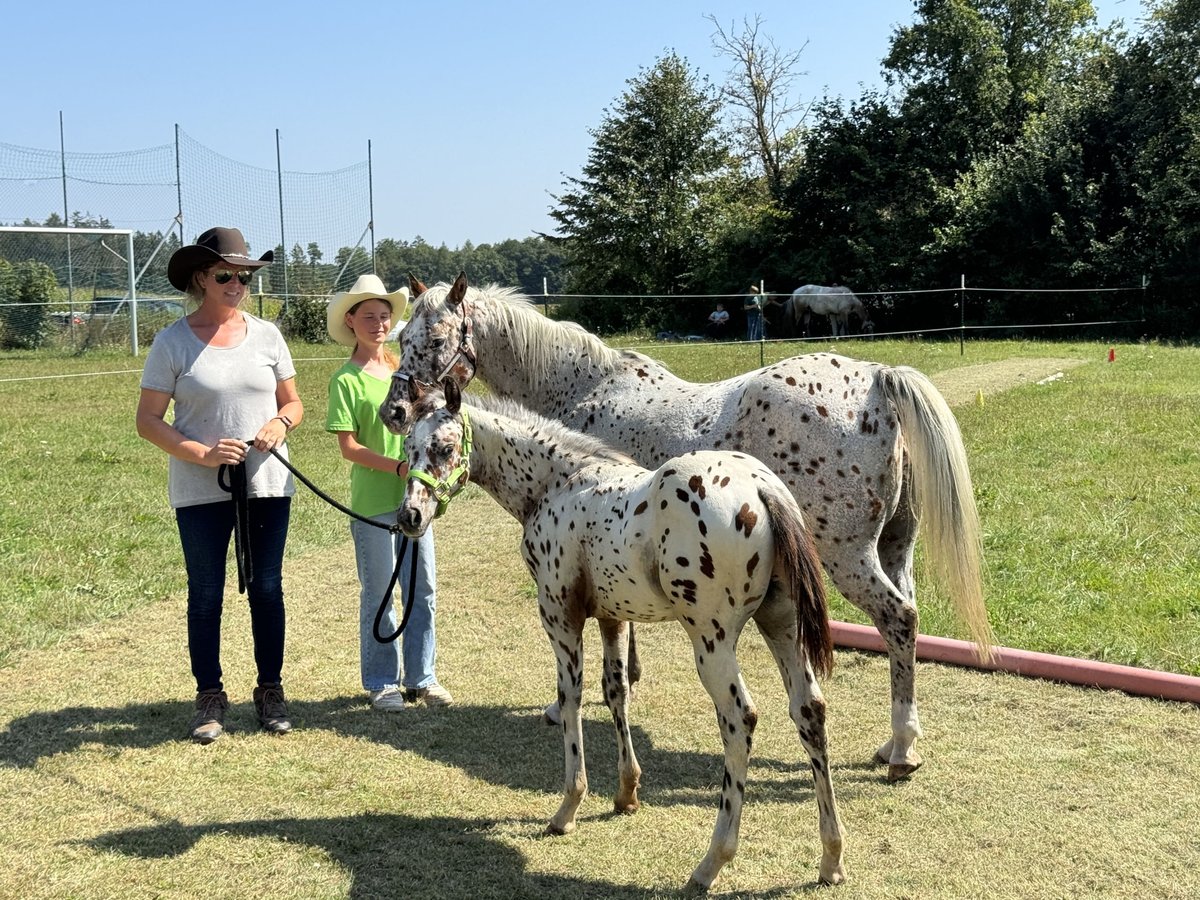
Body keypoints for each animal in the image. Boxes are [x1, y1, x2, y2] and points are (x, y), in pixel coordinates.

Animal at [379, 273, 988, 782]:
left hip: (848, 558)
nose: (394, 411)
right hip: (893, 550)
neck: (582, 388)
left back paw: (902, 748)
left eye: (435, 338)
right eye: (402, 335)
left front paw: (570, 703)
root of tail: (878, 380)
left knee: (899, 620)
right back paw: (897, 742)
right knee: (905, 622)